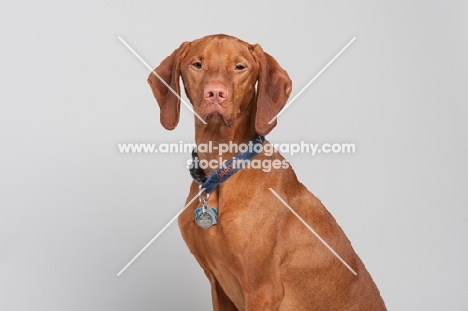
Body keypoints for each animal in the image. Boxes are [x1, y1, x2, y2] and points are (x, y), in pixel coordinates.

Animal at [148, 34, 386, 311]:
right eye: (197, 64)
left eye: (240, 67)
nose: (215, 93)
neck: (219, 173)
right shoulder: (218, 285)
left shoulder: (262, 290)